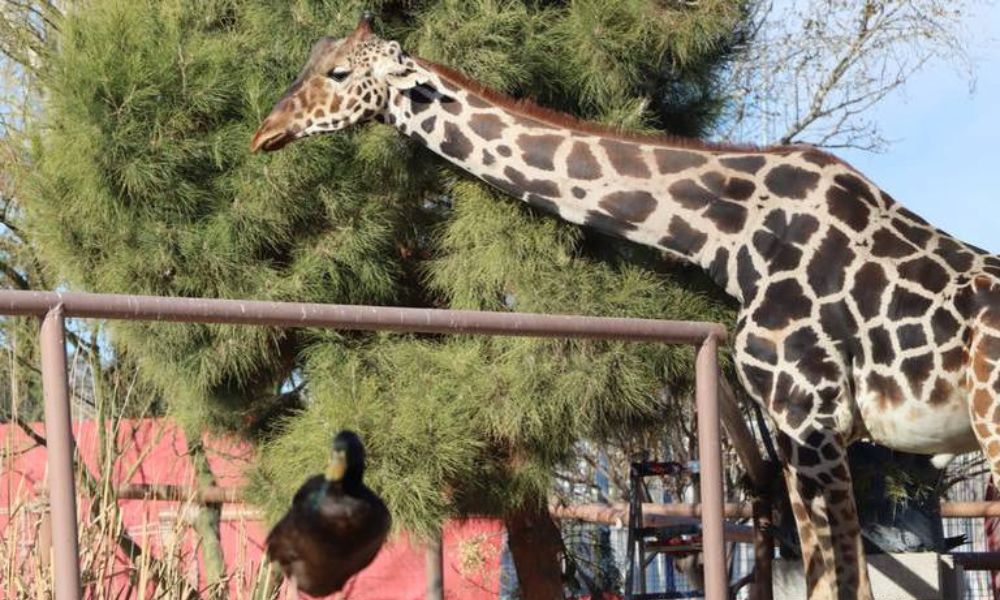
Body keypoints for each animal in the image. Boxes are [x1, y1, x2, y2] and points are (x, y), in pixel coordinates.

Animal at [250, 14, 1000, 600]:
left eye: (339, 73)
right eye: (311, 60)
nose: (265, 131)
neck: (727, 235)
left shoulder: (807, 413)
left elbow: (838, 580)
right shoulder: (805, 431)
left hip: (989, 424)